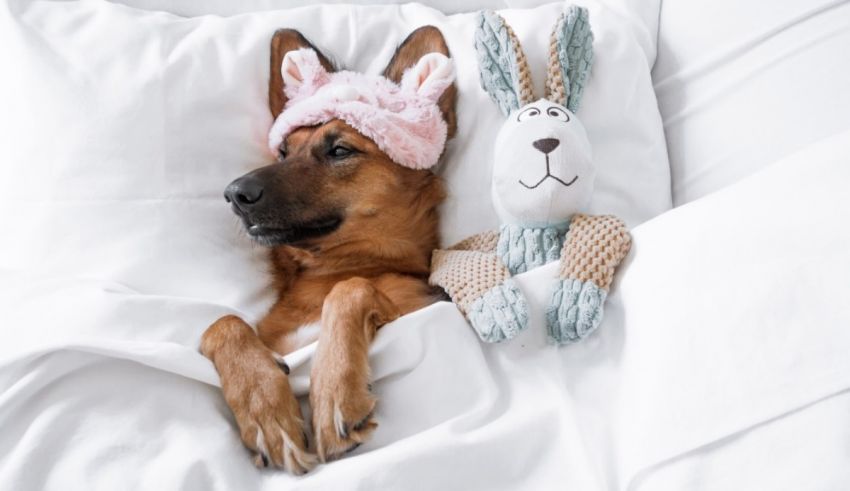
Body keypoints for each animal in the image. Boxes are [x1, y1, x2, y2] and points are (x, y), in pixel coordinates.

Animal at [200, 26, 458, 472]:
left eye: (339, 150)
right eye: (284, 151)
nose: (234, 193)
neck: (331, 267)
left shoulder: (417, 305)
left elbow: (350, 289)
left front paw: (336, 393)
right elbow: (222, 323)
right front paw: (265, 409)